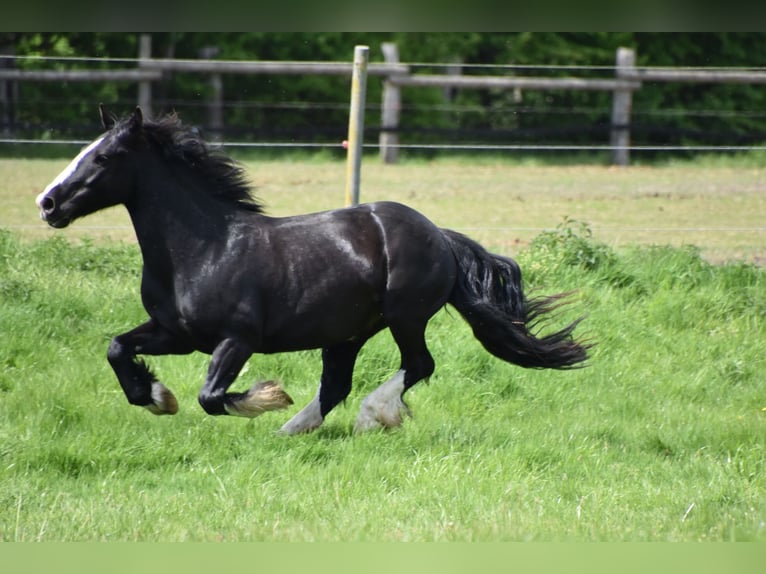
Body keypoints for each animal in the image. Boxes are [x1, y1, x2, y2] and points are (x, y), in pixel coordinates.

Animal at [36, 105, 590, 435]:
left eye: (103, 157)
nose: (47, 204)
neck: (204, 247)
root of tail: (439, 235)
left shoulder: (237, 339)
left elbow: (211, 395)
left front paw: (267, 397)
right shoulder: (176, 333)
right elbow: (117, 348)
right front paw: (155, 397)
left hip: (405, 316)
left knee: (417, 365)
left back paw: (370, 416)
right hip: (347, 332)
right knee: (337, 384)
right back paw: (295, 432)